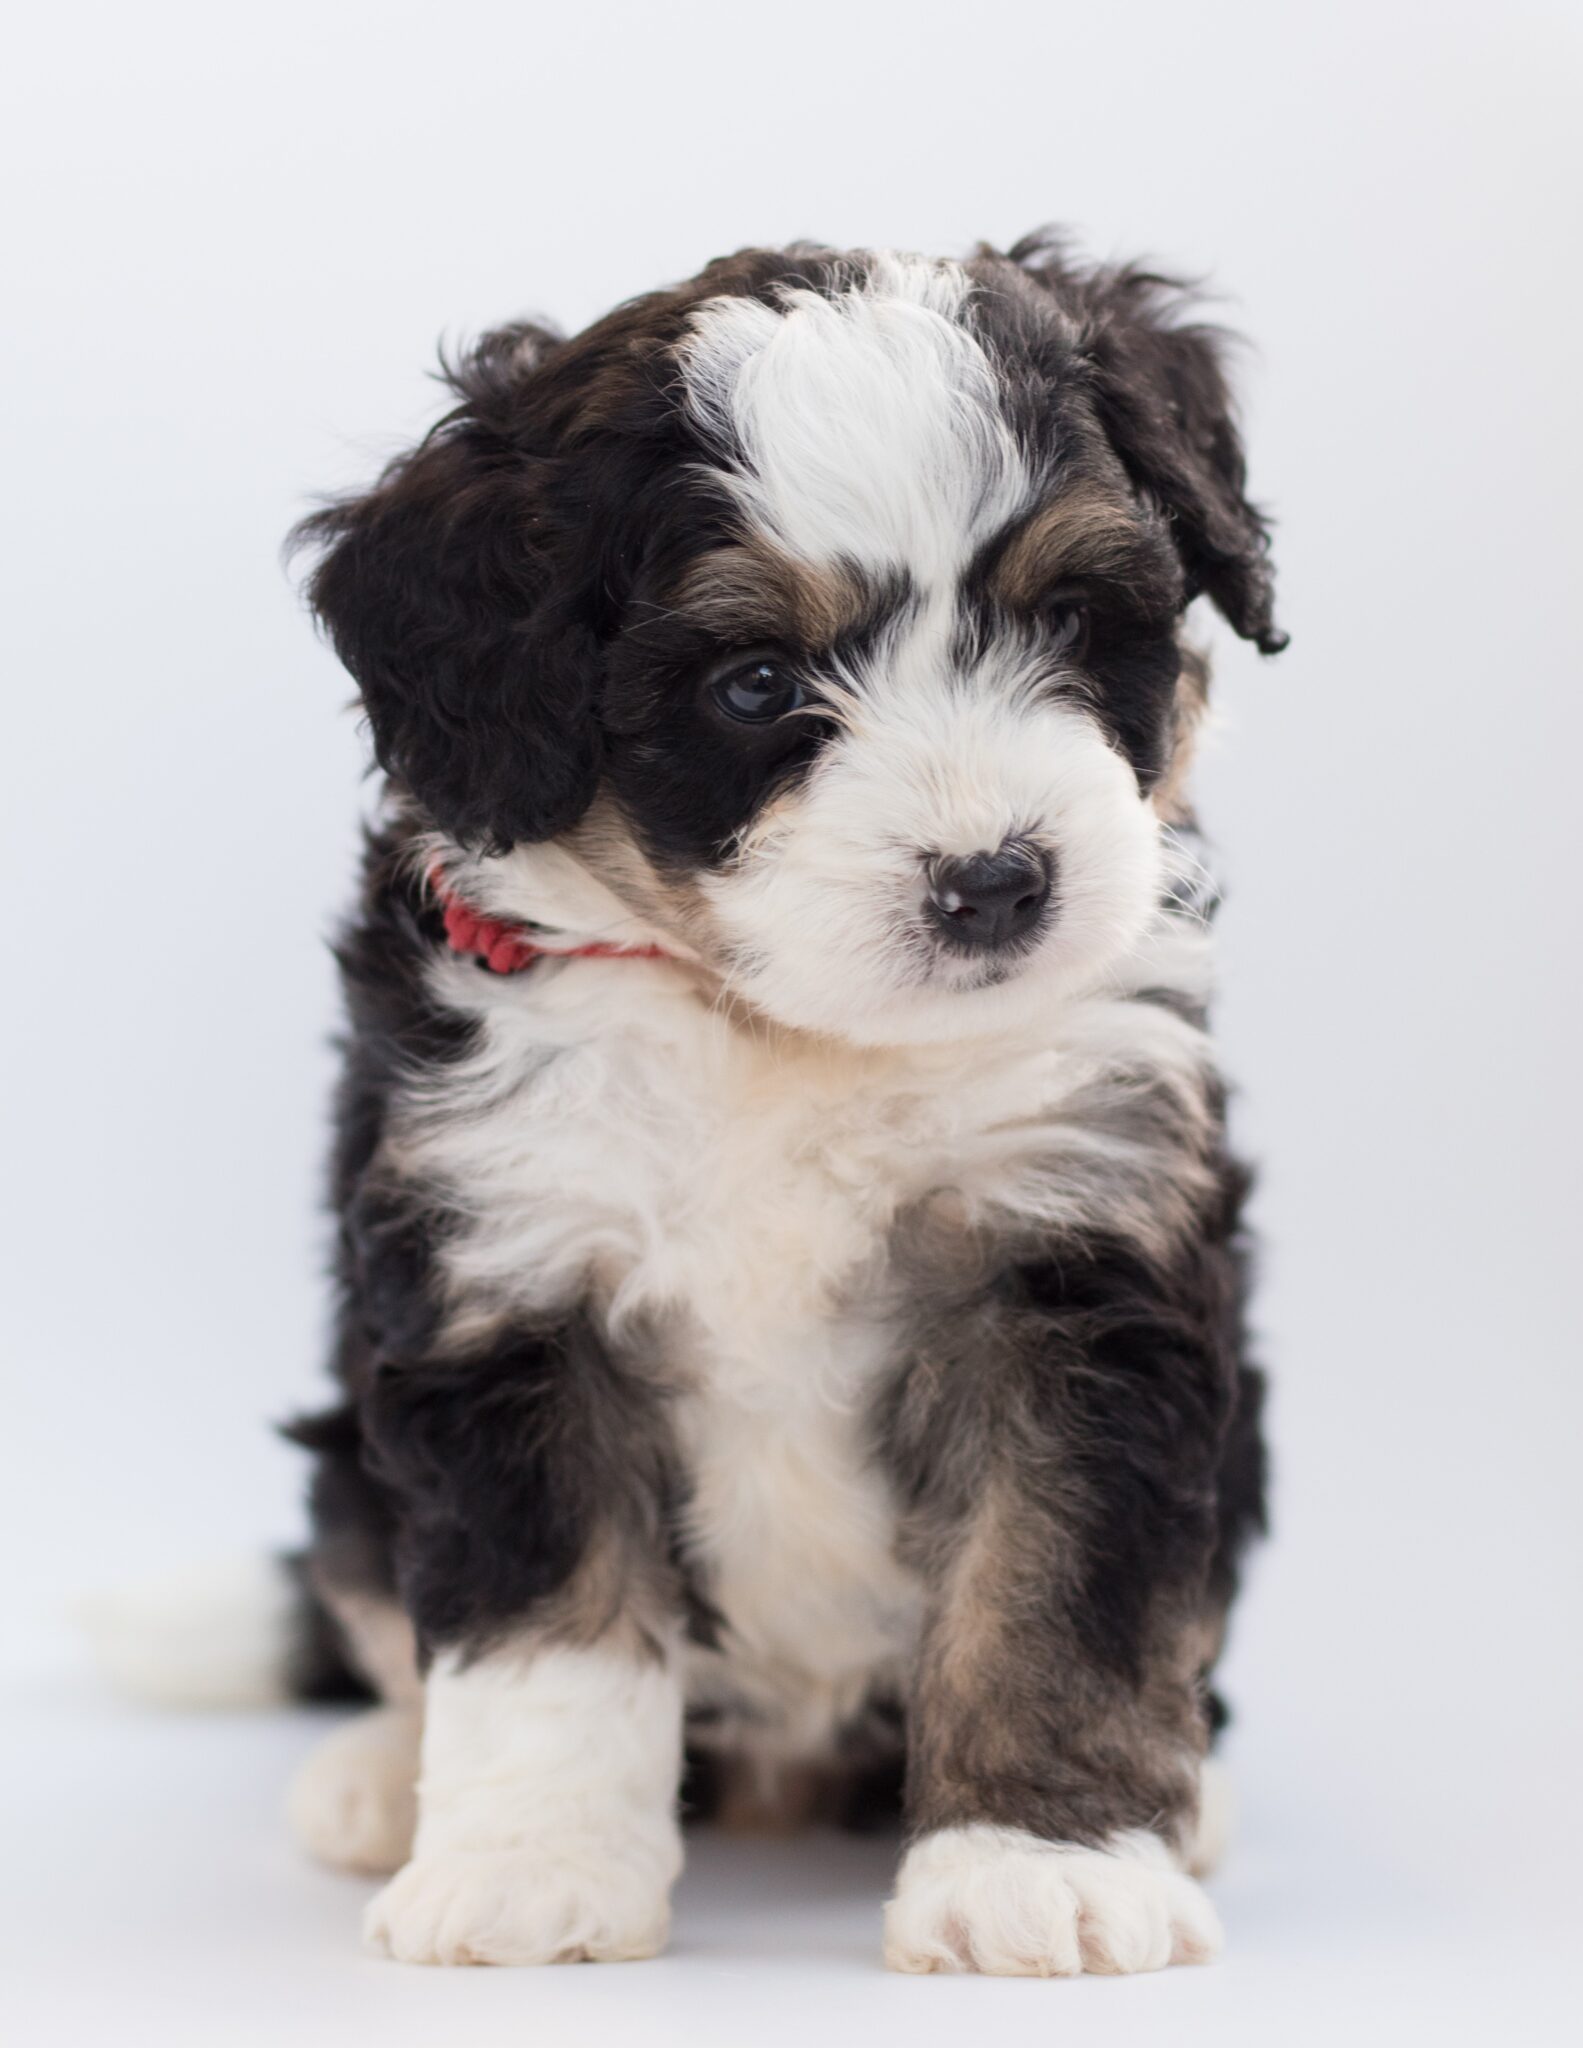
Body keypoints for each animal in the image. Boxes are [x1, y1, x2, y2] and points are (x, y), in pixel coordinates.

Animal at [278, 232, 1277, 1974]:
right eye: (752, 687)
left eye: (1069, 617)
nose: (996, 882)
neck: (772, 1031)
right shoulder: (509, 1268)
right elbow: (544, 1624)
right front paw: (528, 1873)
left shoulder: (1070, 1248)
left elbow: (1053, 1588)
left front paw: (1039, 1864)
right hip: (345, 1459)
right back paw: (375, 1777)